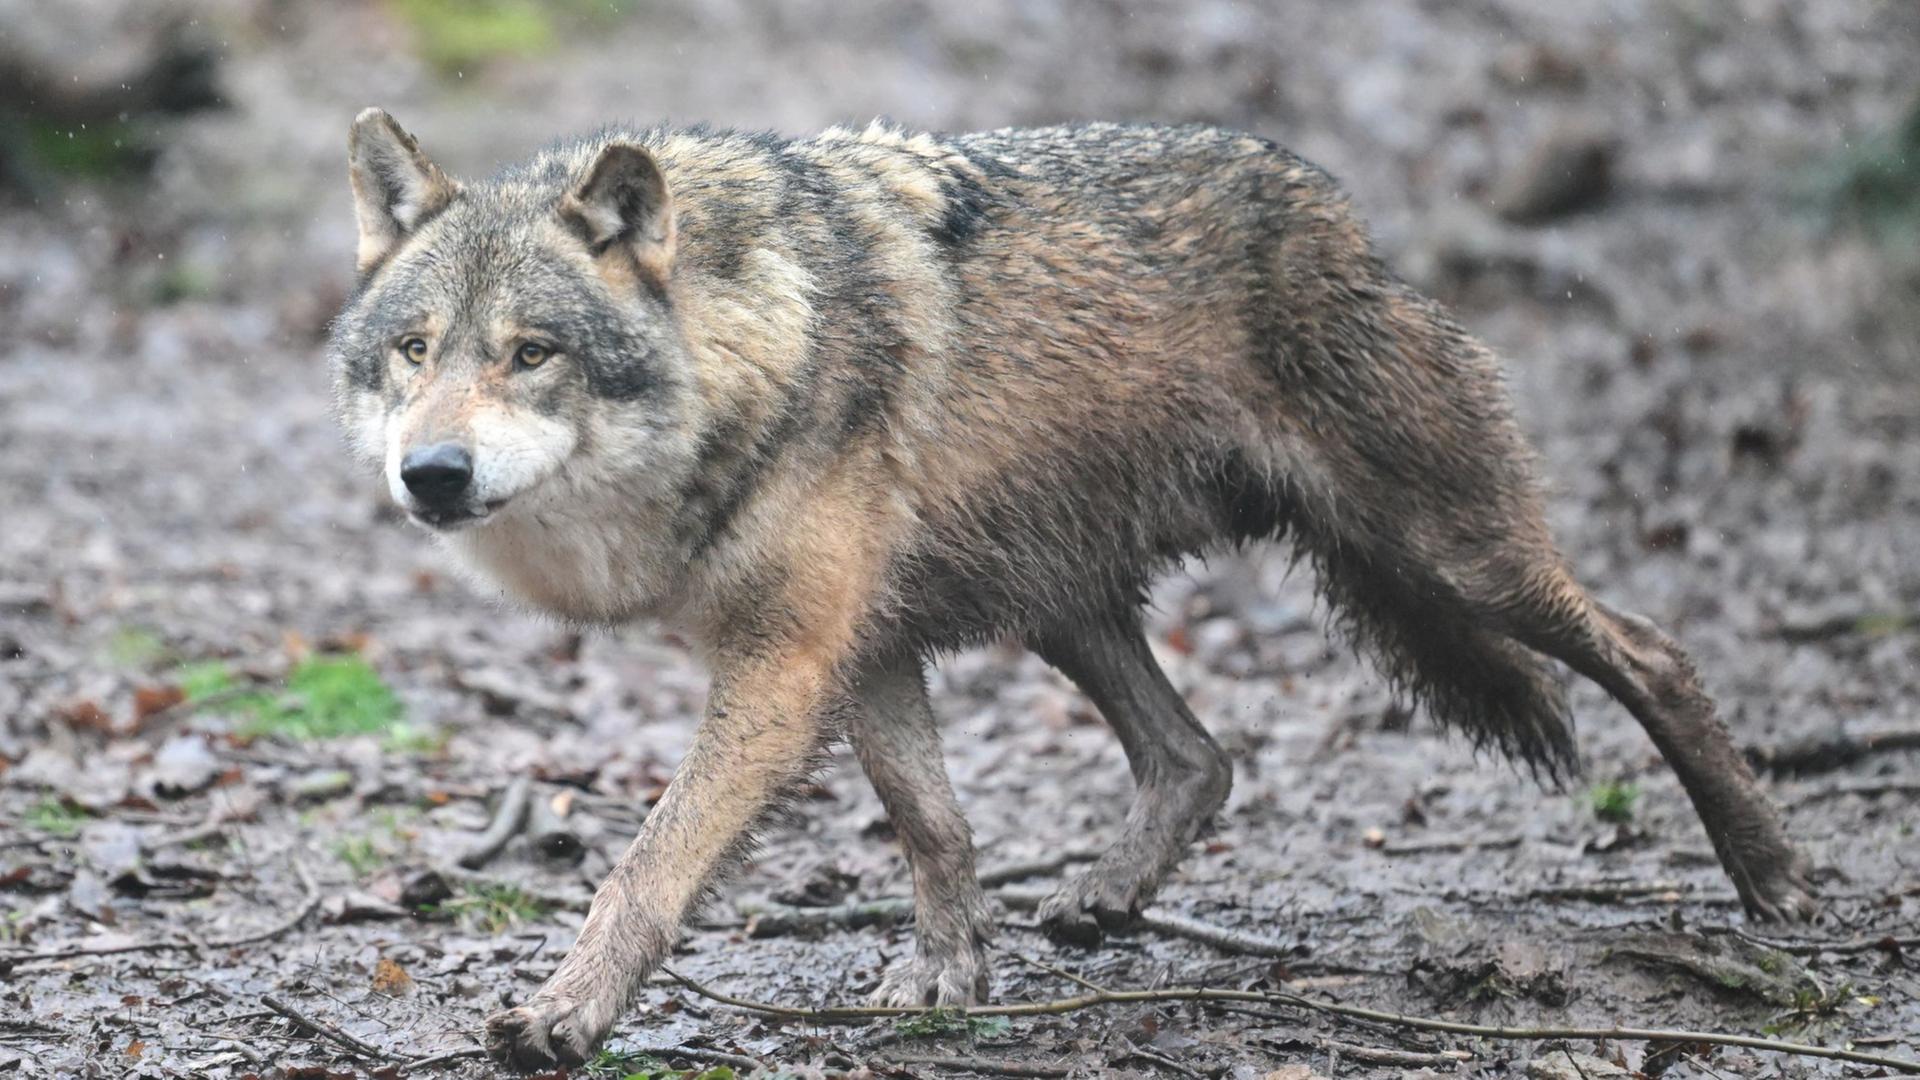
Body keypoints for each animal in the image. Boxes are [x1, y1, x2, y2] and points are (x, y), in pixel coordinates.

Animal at [328, 108, 1816, 1068]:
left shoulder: (786, 663)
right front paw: (948, 978)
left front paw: (563, 1016)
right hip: (1064, 602)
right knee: (1200, 756)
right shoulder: (862, 649)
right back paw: (1104, 897)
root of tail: (1343, 215)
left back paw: (1774, 880)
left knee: (1654, 652)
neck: (753, 345)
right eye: (415, 350)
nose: (431, 474)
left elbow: (647, 866)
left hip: (1449, 555)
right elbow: (933, 825)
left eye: (531, 353)